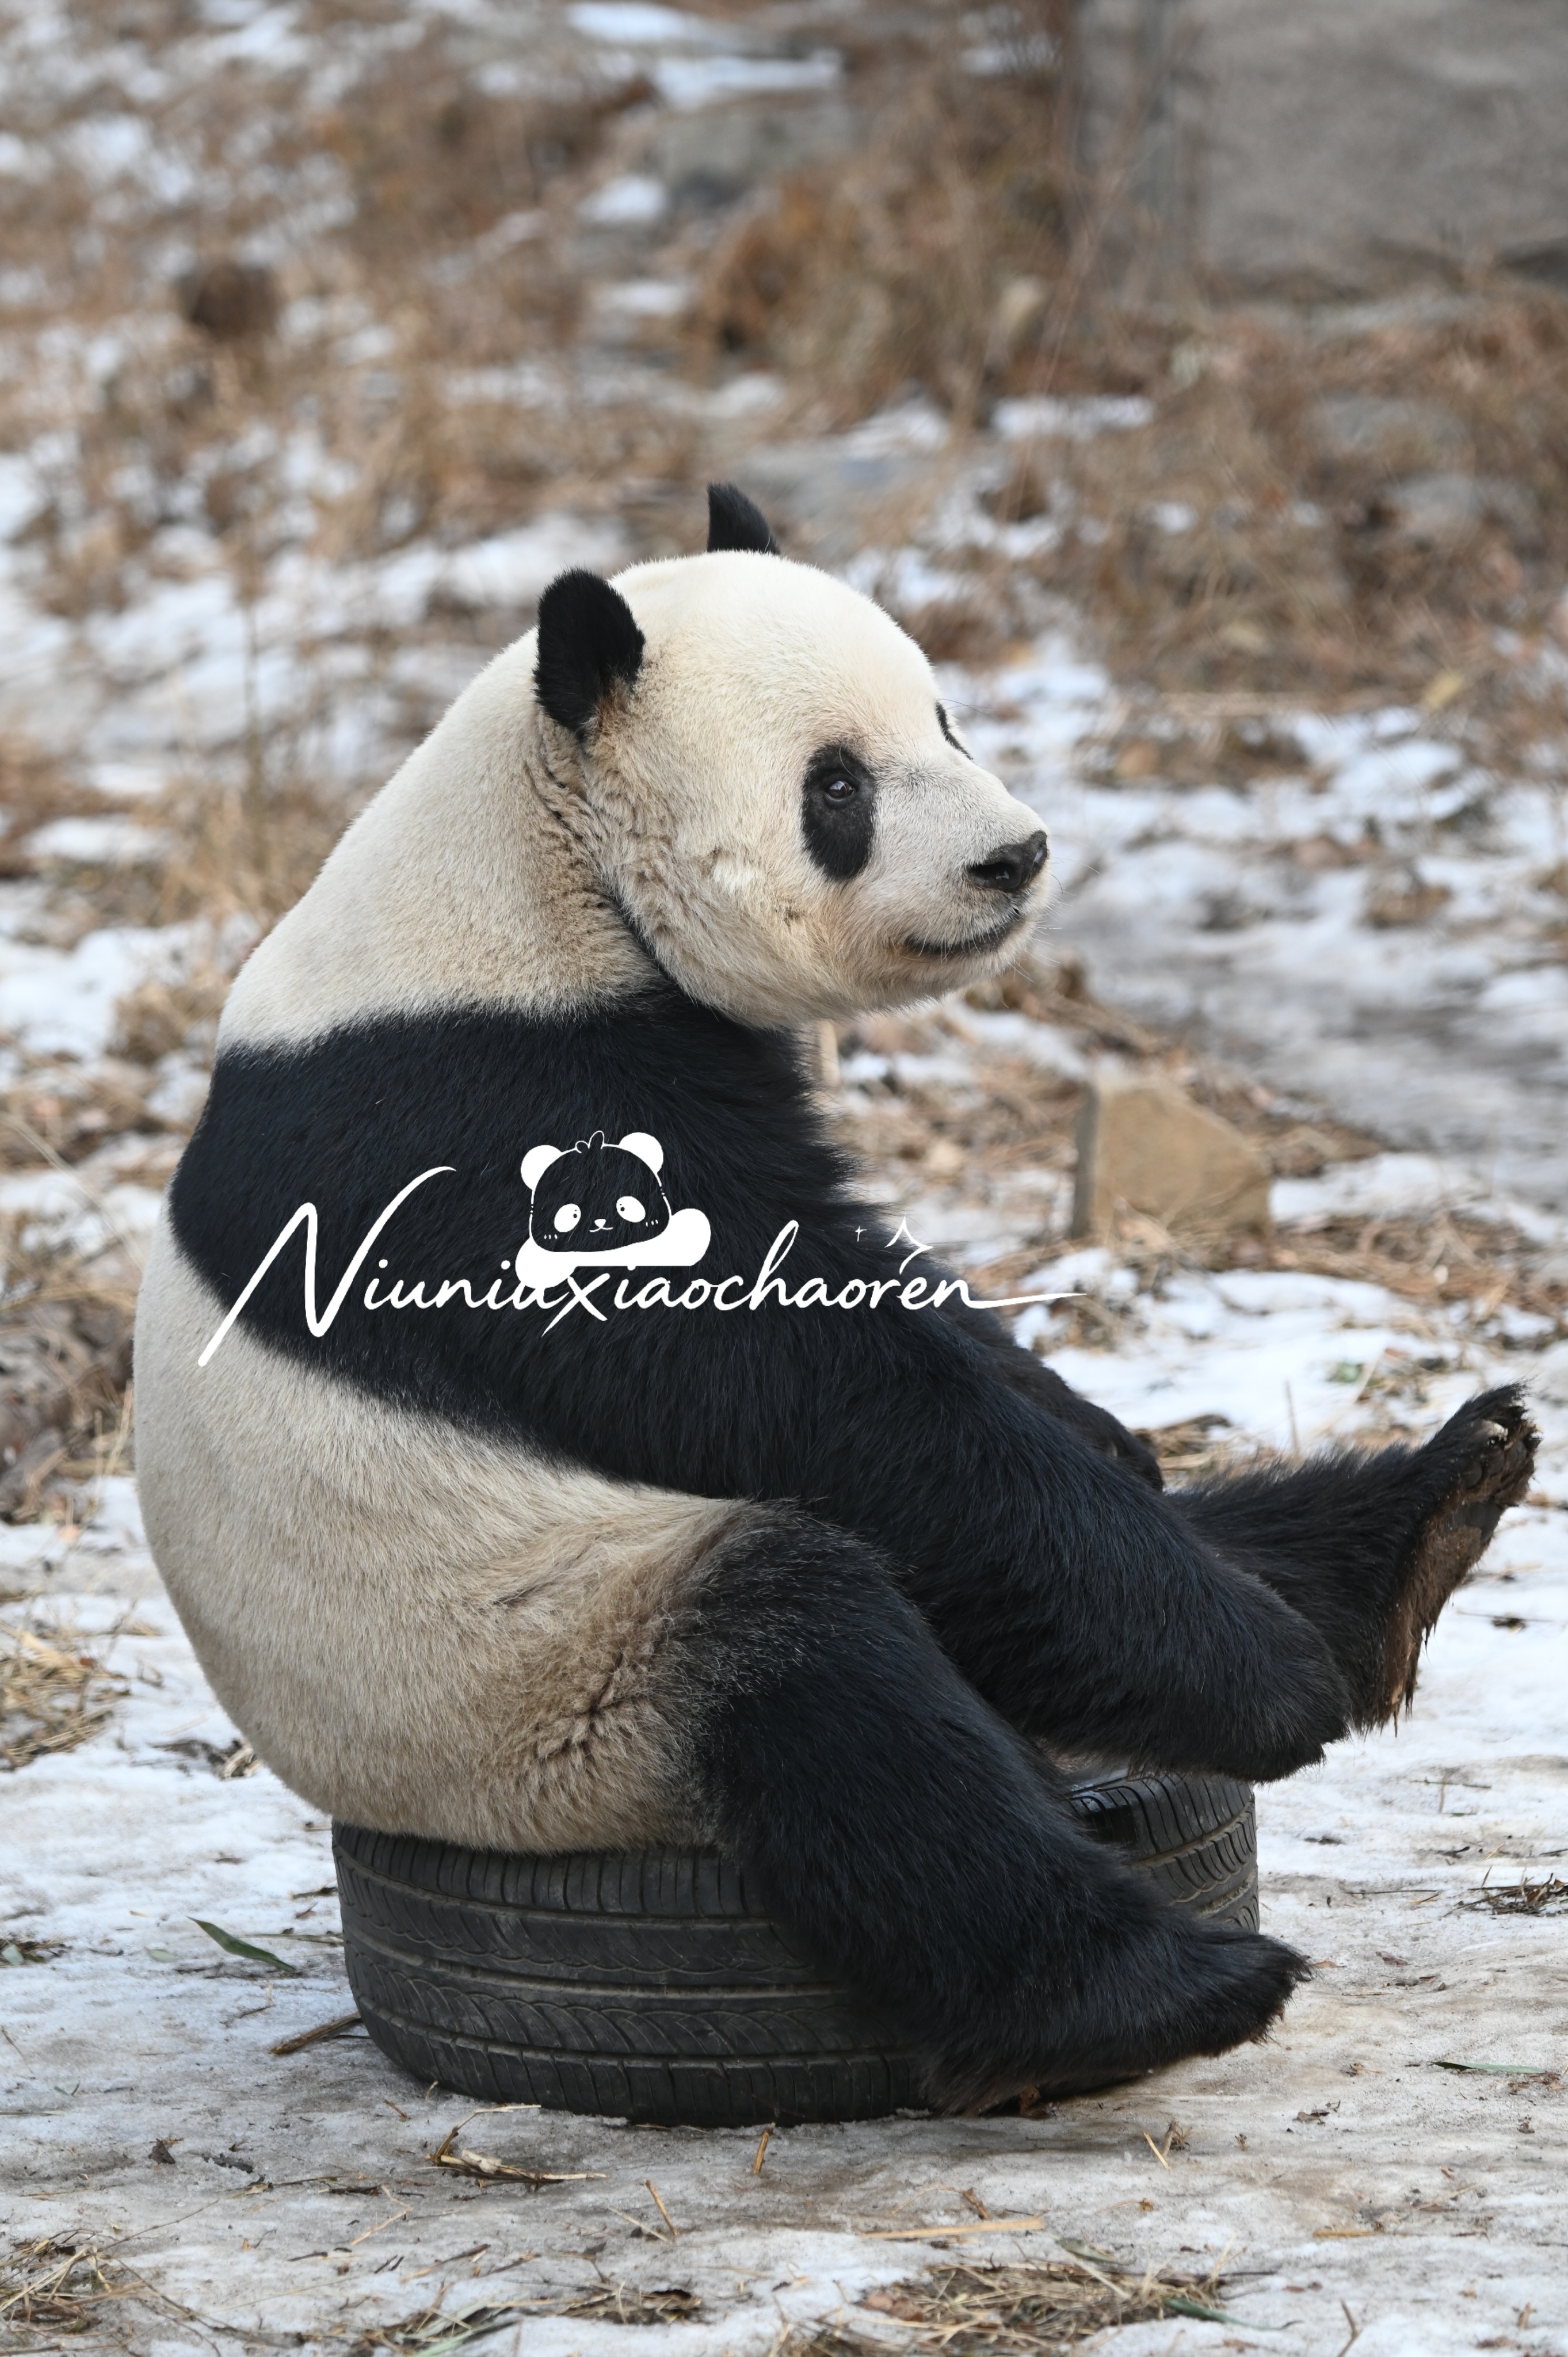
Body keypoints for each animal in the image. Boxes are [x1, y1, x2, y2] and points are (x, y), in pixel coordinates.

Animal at [133, 481, 1537, 2112]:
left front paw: (1110, 1432)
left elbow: (923, 1327)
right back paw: (1165, 1978)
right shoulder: (487, 1119)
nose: (1015, 856)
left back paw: (1426, 1519)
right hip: (526, 1679)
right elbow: (814, 1389)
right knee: (834, 1686)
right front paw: (1262, 1683)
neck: (541, 878)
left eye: (947, 715)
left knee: (1104, 1562)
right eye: (839, 787)